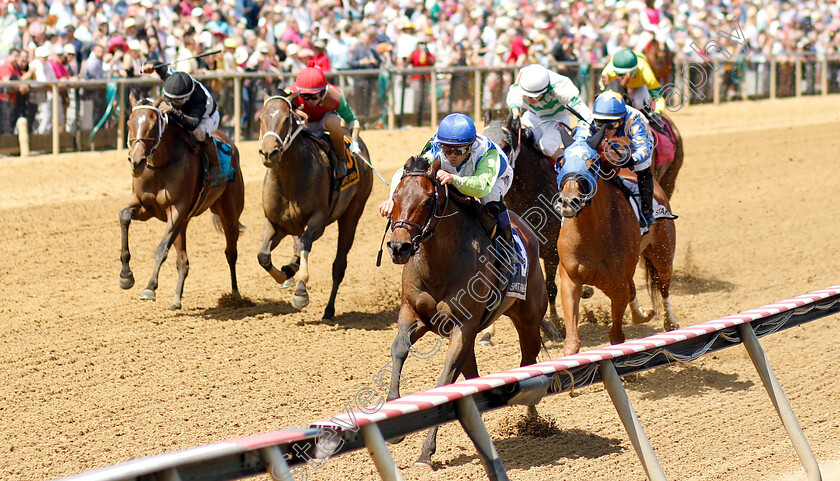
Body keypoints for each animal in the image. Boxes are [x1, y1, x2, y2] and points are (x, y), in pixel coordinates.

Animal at [121, 95, 246, 310]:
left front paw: (149, 287)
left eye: (153, 125)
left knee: (231, 253)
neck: (161, 164)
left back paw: (235, 295)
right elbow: (124, 216)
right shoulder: (145, 206)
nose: (136, 161)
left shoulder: (177, 211)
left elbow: (161, 249)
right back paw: (176, 300)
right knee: (183, 261)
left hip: (229, 214)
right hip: (184, 224)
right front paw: (126, 276)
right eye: (129, 122)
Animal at [258, 92, 372, 320]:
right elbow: (263, 256)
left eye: (287, 119)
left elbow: (305, 244)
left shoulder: (318, 219)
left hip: (352, 214)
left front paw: (301, 292)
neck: (289, 179)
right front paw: (283, 274)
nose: (268, 153)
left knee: (339, 265)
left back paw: (329, 310)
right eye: (260, 118)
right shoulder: (275, 222)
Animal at [386, 156, 548, 466]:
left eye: (428, 200)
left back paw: (532, 420)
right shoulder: (413, 314)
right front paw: (391, 412)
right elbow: (399, 348)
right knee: (472, 373)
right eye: (396, 196)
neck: (439, 263)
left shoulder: (463, 326)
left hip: (529, 321)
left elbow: (444, 381)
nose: (399, 247)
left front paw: (426, 452)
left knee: (528, 361)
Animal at [556, 125, 680, 354]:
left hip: (663, 255)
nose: (568, 201)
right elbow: (572, 343)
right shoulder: (570, 279)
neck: (592, 234)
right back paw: (642, 314)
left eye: (593, 165)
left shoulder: (617, 287)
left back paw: (670, 323)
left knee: (664, 286)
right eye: (561, 162)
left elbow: (617, 337)